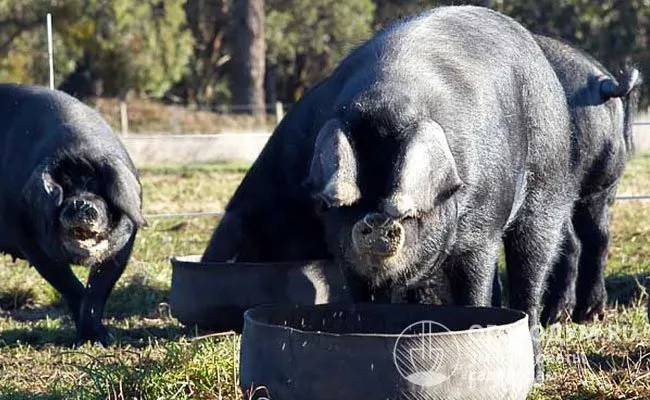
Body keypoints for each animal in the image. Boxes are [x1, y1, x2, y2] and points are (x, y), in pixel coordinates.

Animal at [0, 84, 146, 344]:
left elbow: (98, 289)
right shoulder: (29, 242)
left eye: (99, 186)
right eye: (64, 186)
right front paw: (89, 338)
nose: (81, 203)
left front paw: (102, 339)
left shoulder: (127, 242)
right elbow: (70, 286)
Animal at [202, 7, 572, 382]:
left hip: (549, 187)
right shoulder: (346, 256)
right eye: (348, 204)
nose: (377, 220)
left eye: (407, 209)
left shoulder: (482, 231)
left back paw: (538, 372)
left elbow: (476, 292)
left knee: (531, 272)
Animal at [528, 35, 640, 324]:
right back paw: (589, 314)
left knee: (570, 243)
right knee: (598, 239)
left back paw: (554, 315)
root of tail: (602, 83)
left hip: (561, 186)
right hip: (605, 186)